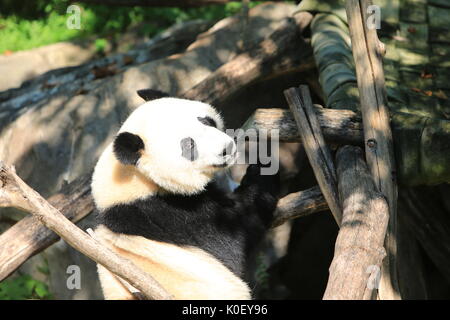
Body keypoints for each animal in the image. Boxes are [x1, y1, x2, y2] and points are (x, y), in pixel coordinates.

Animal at [91, 90, 278, 300]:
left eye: (205, 121)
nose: (227, 148)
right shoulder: (166, 215)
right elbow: (233, 240)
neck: (135, 179)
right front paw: (262, 171)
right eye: (189, 145)